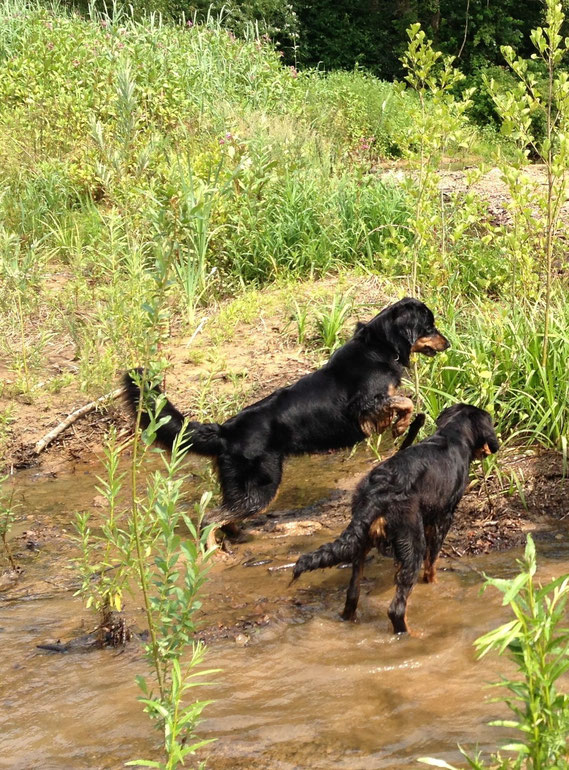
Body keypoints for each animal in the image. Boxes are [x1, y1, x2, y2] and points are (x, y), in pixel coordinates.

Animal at [123, 294, 448, 536]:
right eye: (429, 326)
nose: (448, 343)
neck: (380, 346)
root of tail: (226, 431)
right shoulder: (364, 405)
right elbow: (404, 401)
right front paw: (401, 425)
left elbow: (403, 402)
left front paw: (401, 425)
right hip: (261, 486)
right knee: (212, 518)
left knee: (226, 517)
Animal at [292, 402, 496, 632]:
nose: (489, 450)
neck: (453, 436)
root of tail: (377, 492)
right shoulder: (444, 516)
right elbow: (432, 563)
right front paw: (434, 584)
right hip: (412, 540)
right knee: (396, 608)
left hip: (362, 542)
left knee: (352, 595)